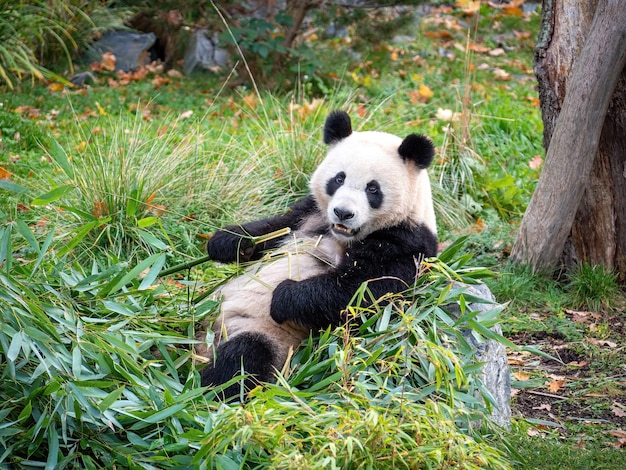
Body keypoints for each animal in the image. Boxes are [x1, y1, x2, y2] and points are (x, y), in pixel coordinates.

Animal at [197, 111, 436, 400]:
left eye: (373, 189)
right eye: (338, 179)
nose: (343, 212)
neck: (342, 234)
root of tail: (202, 345)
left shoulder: (407, 244)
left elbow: (357, 292)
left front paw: (282, 297)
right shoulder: (309, 213)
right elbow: (273, 228)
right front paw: (226, 241)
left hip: (266, 334)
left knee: (243, 359)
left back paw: (204, 390)